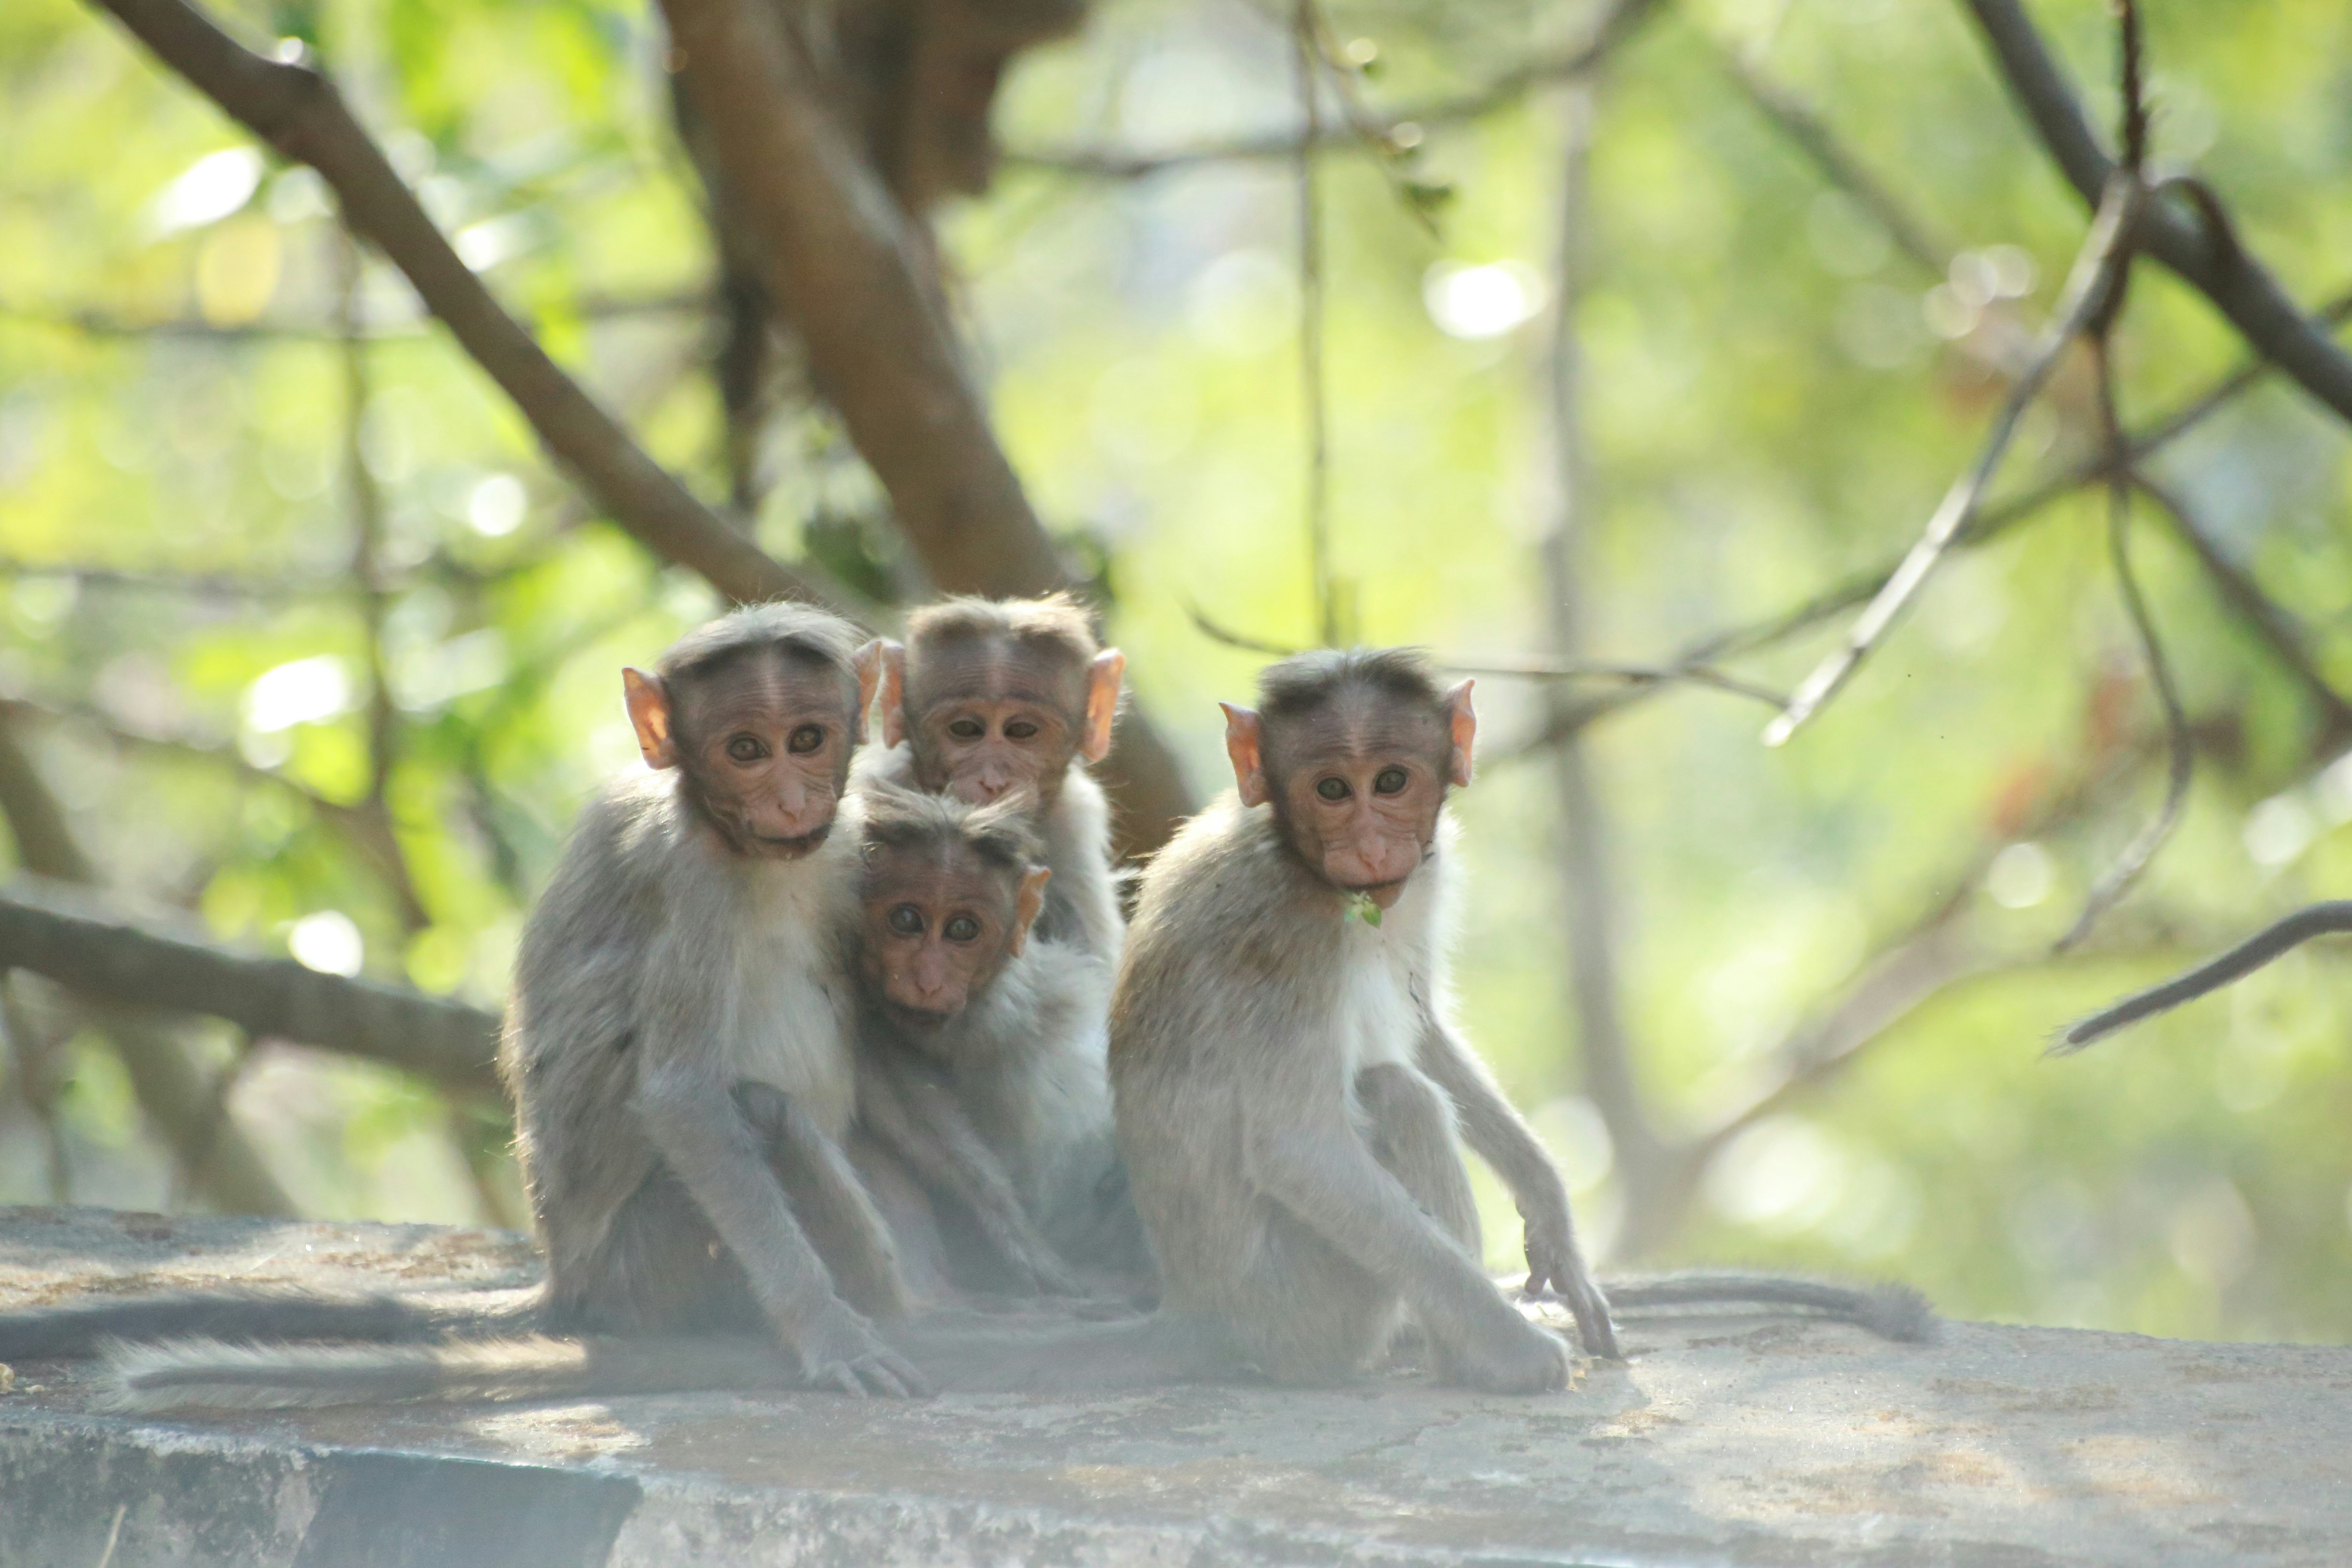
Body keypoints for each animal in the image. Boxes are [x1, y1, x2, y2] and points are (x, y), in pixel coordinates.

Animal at [1, 604, 932, 1400]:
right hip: (654, 1260)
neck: (750, 850)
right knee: (760, 1112)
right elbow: (684, 1099)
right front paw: (824, 1330)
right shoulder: (689, 881)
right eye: (745, 749)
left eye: (806, 740)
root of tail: (566, 1285)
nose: (789, 798)